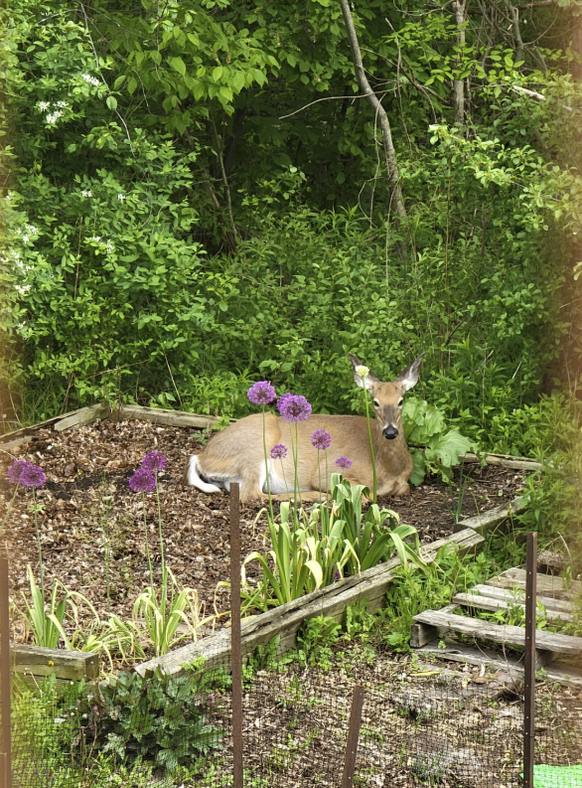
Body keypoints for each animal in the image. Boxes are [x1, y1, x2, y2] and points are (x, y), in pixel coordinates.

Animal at [184, 353, 423, 503]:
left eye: (401, 401)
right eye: (375, 402)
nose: (390, 432)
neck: (386, 468)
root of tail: (201, 455)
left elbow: (404, 488)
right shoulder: (329, 469)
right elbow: (366, 495)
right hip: (258, 445)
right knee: (252, 495)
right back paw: (316, 496)